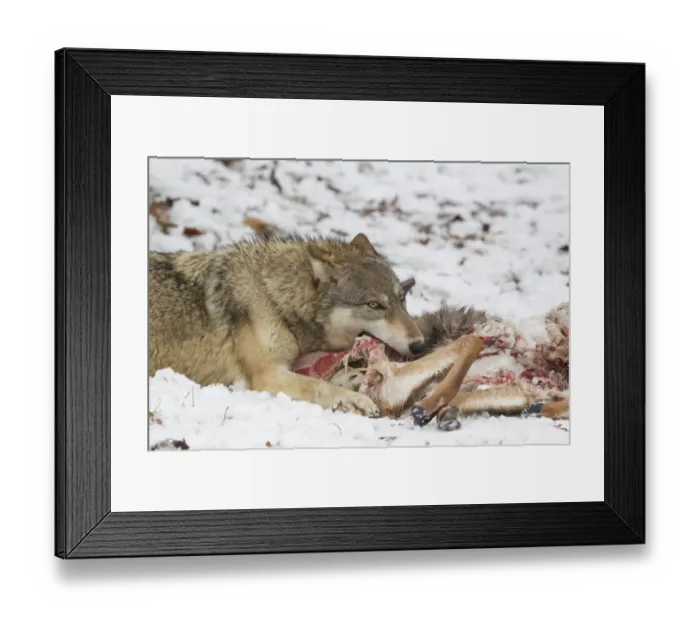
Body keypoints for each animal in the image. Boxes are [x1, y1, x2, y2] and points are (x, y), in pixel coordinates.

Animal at [149, 233, 428, 417]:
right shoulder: (268, 375)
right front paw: (356, 400)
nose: (420, 345)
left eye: (402, 299)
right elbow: (319, 385)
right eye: (374, 305)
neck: (274, 298)